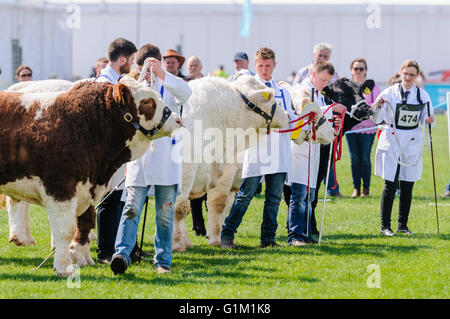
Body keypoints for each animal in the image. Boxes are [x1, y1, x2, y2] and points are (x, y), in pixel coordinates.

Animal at [0, 76, 179, 276]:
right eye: (148, 102)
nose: (177, 119)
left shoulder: (88, 189)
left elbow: (85, 223)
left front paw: (82, 258)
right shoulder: (60, 187)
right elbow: (65, 230)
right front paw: (64, 267)